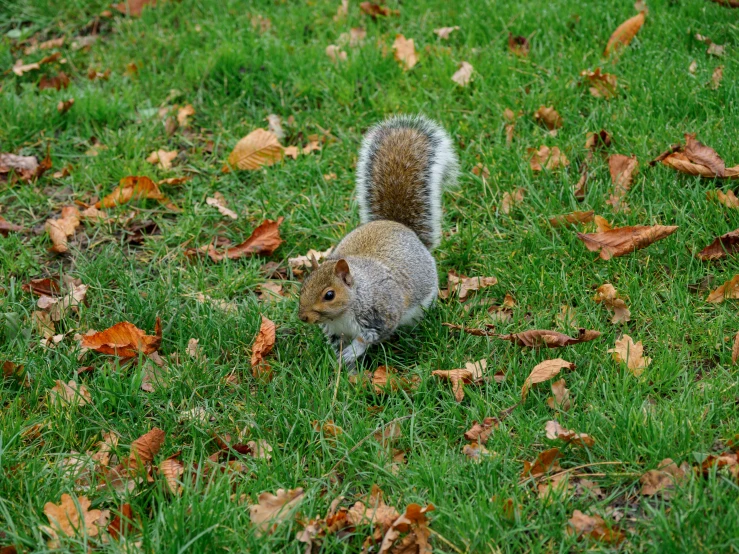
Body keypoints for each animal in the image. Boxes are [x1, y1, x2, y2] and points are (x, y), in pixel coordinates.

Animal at [298, 114, 460, 366]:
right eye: (303, 286)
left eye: (329, 295)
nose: (303, 317)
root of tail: (397, 225)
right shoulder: (334, 330)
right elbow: (336, 343)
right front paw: (338, 363)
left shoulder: (382, 313)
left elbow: (369, 338)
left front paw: (350, 354)